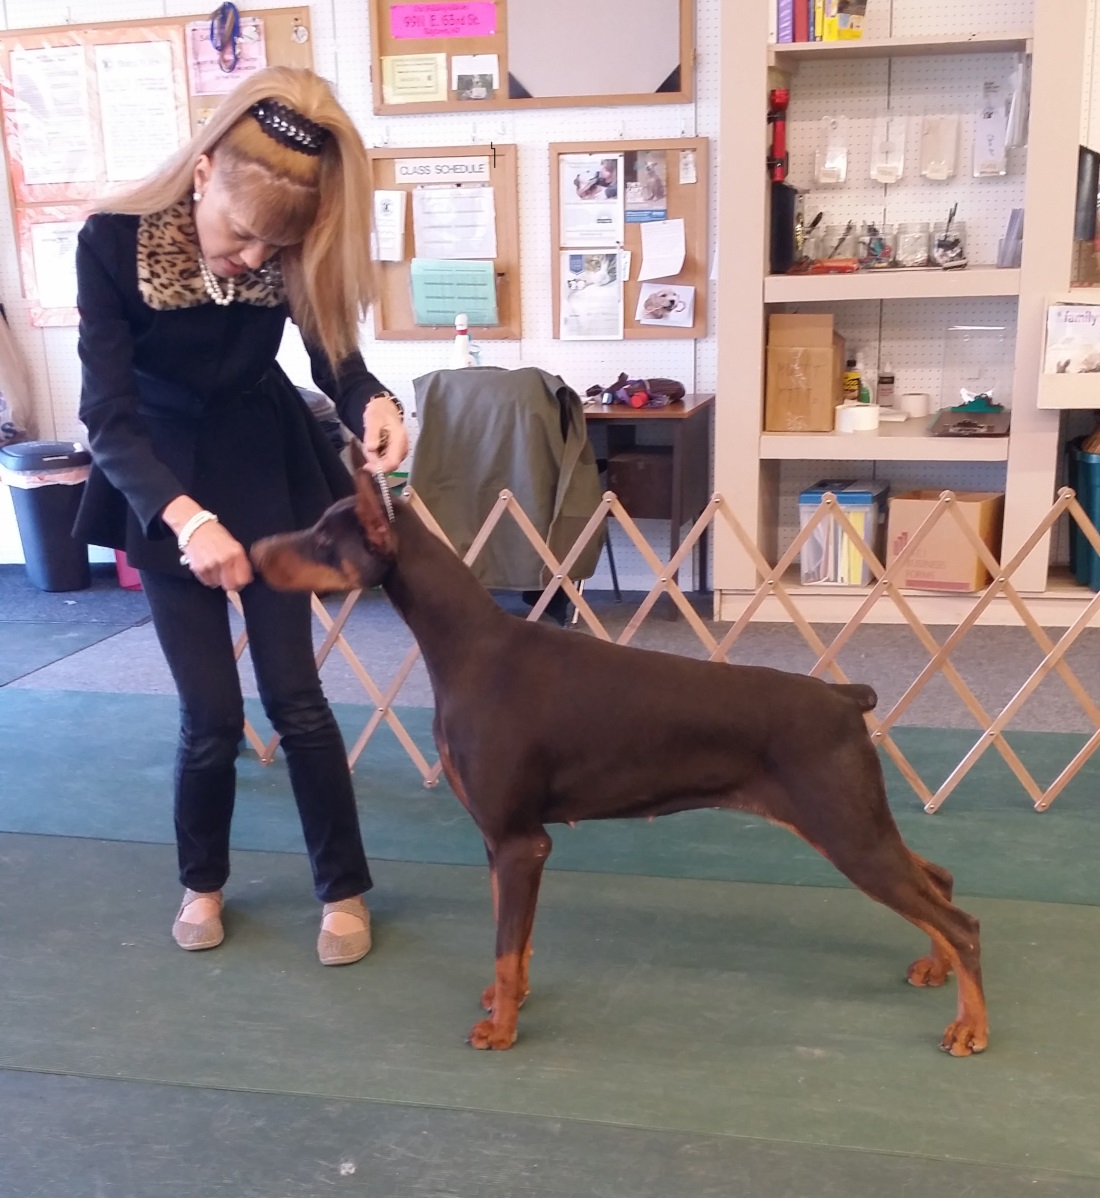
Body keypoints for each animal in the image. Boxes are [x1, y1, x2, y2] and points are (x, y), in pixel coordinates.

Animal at [254, 472, 996, 1054]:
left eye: (322, 541)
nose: (255, 552)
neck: (467, 648)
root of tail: (846, 697)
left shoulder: (520, 841)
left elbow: (505, 943)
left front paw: (502, 1030)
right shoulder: (501, 843)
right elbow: (515, 942)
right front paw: (506, 1000)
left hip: (845, 829)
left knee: (961, 921)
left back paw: (972, 1027)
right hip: (854, 822)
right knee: (938, 879)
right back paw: (936, 970)